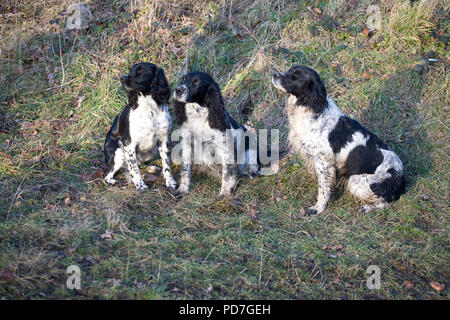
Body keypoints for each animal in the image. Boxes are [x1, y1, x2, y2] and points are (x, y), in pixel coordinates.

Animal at [103, 62, 178, 192]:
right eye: (130, 70)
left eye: (140, 71)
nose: (122, 78)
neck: (149, 109)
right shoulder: (128, 144)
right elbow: (134, 169)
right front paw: (140, 185)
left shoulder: (164, 140)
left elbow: (166, 165)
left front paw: (170, 183)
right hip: (118, 153)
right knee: (107, 174)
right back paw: (113, 181)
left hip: (152, 150)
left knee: (140, 163)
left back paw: (151, 168)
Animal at [272, 66, 406, 214]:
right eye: (290, 70)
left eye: (295, 76)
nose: (274, 74)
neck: (313, 109)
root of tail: (400, 177)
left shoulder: (324, 163)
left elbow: (323, 189)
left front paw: (318, 208)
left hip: (356, 180)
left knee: (385, 201)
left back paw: (366, 207)